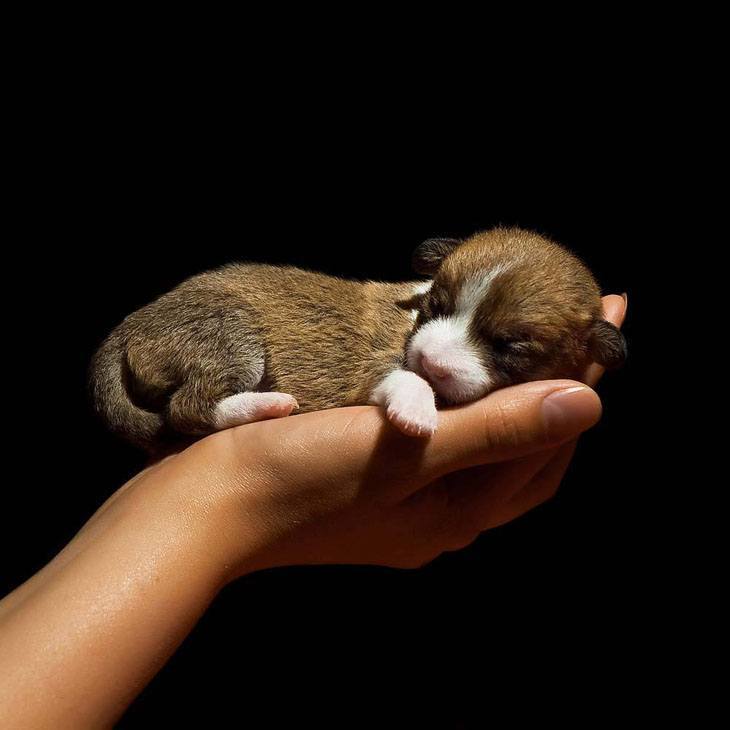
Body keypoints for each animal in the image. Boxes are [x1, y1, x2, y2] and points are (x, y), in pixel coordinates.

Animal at [91, 226, 624, 450]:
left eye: (509, 347)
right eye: (437, 307)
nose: (431, 359)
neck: (410, 319)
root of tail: (125, 330)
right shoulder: (380, 366)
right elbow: (407, 379)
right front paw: (416, 412)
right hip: (230, 339)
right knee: (186, 410)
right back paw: (264, 405)